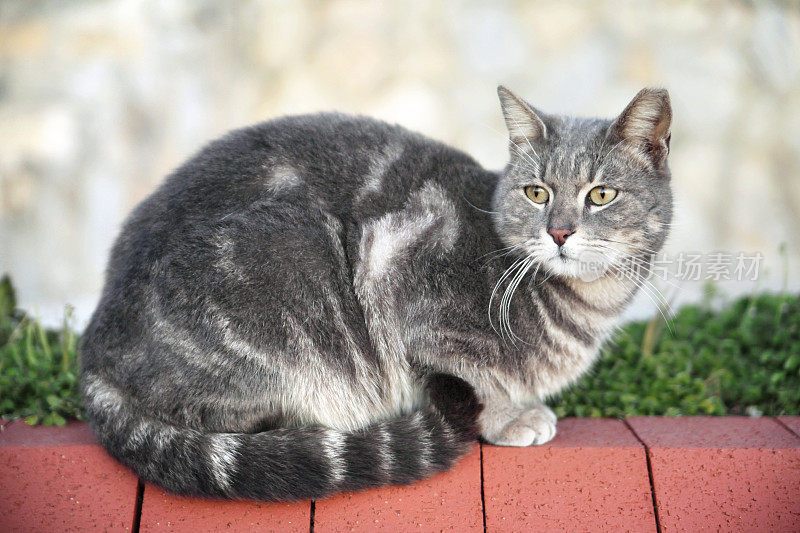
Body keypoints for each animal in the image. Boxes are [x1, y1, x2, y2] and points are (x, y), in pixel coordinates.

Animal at [81, 85, 672, 500]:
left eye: (601, 195)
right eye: (537, 193)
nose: (559, 231)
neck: (587, 306)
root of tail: (94, 344)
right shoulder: (402, 279)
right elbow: (477, 379)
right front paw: (510, 419)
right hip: (289, 259)